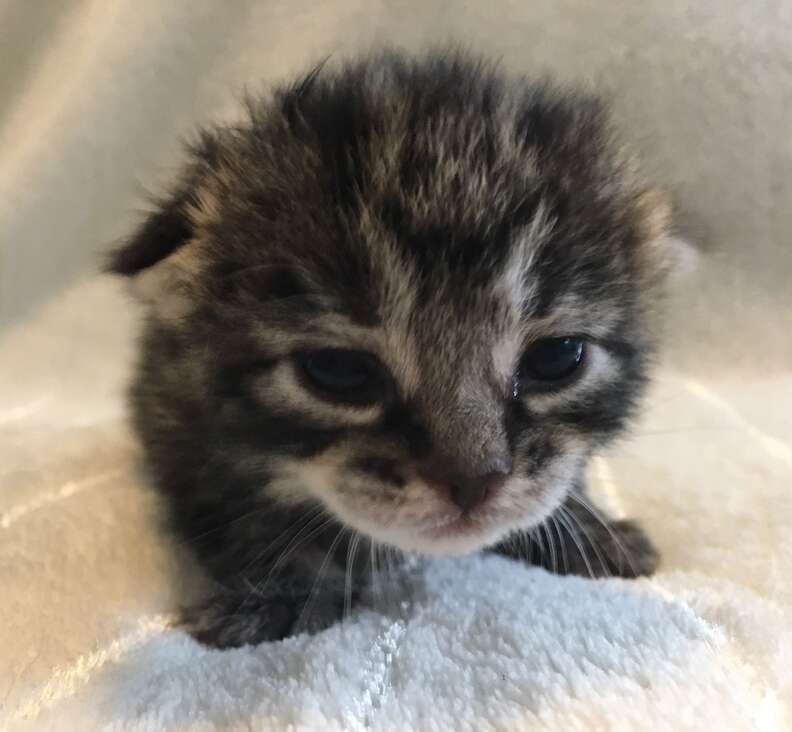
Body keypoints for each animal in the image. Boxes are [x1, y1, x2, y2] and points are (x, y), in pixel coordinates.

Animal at [108, 48, 672, 648]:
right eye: (338, 370)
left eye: (556, 358)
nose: (474, 481)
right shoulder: (174, 420)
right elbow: (235, 506)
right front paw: (286, 586)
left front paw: (587, 530)